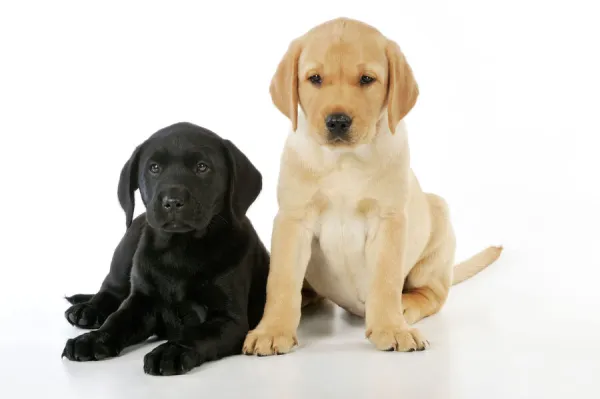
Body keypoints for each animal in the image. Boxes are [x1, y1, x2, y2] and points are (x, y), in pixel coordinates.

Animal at [61, 123, 268, 376]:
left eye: (202, 167)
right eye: (154, 168)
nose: (172, 201)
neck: (179, 249)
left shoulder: (230, 320)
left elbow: (197, 333)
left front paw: (171, 352)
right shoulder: (141, 301)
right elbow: (117, 320)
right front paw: (92, 340)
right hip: (128, 243)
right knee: (111, 290)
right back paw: (87, 311)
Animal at [244, 18, 502, 356]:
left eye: (367, 79)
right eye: (315, 78)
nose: (337, 121)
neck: (343, 161)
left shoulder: (388, 221)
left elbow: (386, 280)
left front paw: (391, 328)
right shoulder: (293, 219)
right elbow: (281, 280)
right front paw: (272, 330)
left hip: (438, 218)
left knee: (432, 293)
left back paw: (406, 306)